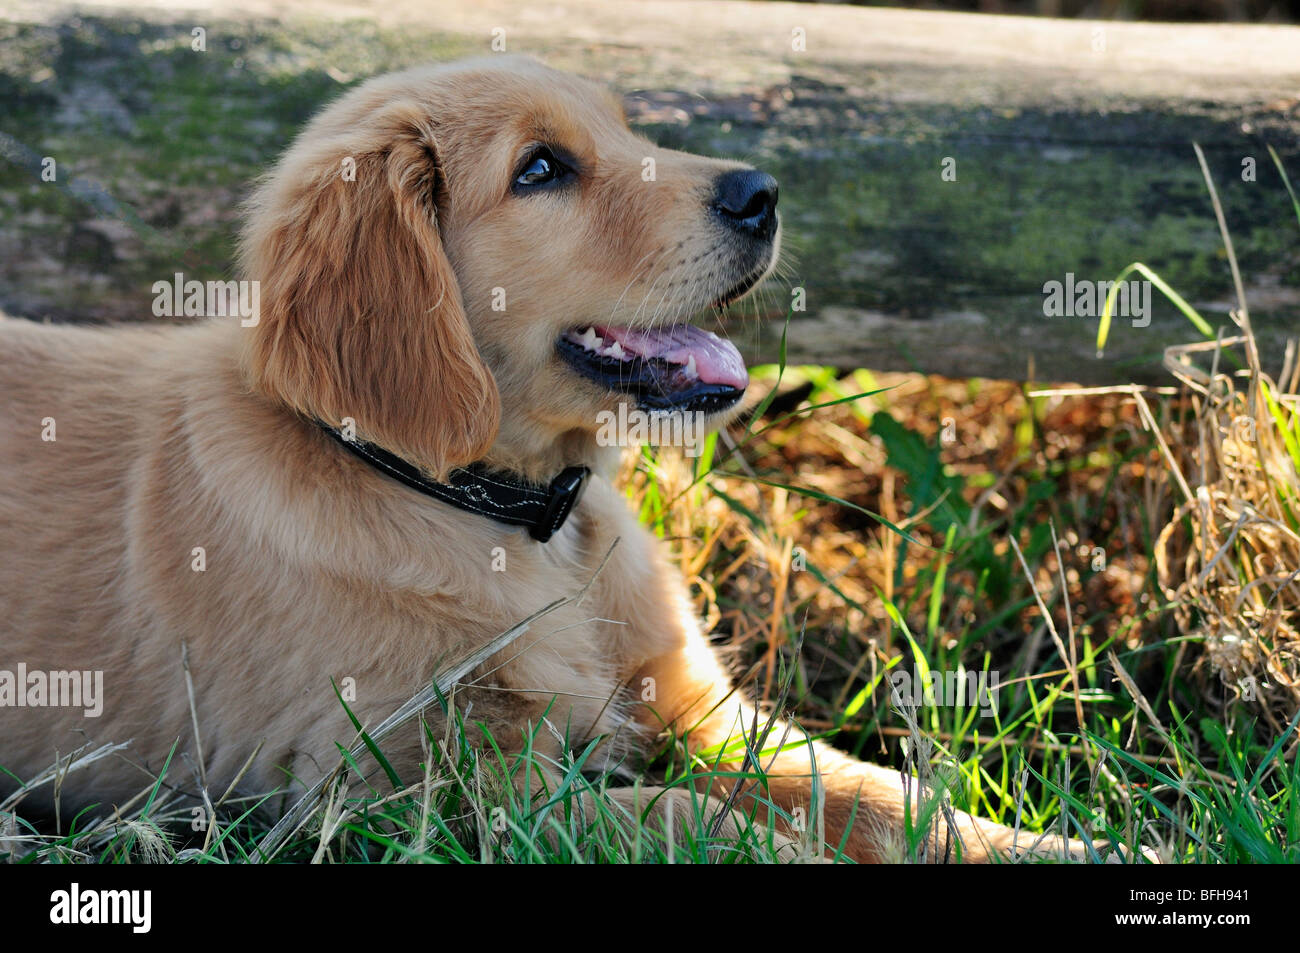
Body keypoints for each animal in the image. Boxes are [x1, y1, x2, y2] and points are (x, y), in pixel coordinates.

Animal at [0, 57, 1107, 863]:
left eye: (625, 130)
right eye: (540, 170)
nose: (762, 191)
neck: (509, 516)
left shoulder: (702, 710)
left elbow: (879, 792)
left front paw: (1049, 845)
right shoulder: (418, 789)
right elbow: (682, 820)